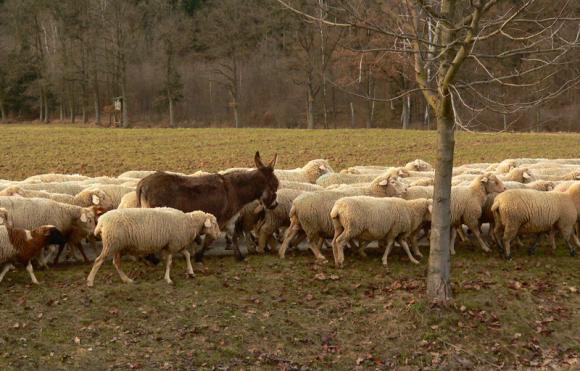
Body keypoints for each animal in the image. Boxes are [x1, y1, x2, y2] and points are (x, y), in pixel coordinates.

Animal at [86, 209, 220, 288]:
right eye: (214, 223)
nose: (218, 234)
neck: (189, 222)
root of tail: (101, 221)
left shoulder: (175, 244)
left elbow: (186, 255)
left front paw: (191, 272)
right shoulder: (173, 245)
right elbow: (170, 262)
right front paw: (168, 279)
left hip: (117, 246)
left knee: (116, 263)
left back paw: (127, 280)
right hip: (111, 243)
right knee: (98, 261)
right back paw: (90, 281)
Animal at [278, 177, 408, 262]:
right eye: (393, 182)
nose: (406, 189)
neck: (373, 192)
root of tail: (295, 204)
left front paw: (355, 250)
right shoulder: (365, 222)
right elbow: (362, 238)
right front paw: (358, 251)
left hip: (298, 222)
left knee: (288, 235)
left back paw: (282, 253)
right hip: (311, 225)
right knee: (310, 242)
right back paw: (320, 256)